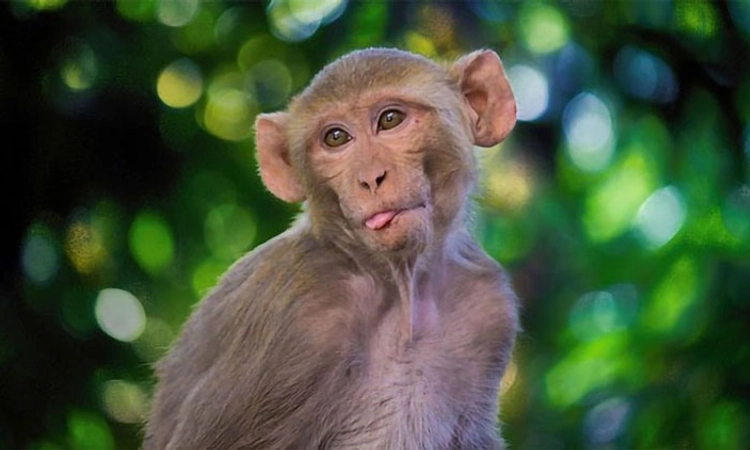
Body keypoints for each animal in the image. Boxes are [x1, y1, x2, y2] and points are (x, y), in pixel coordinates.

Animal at [144, 47, 519, 449]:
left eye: (390, 119)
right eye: (336, 138)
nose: (370, 178)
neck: (399, 287)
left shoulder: (488, 305)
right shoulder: (294, 315)